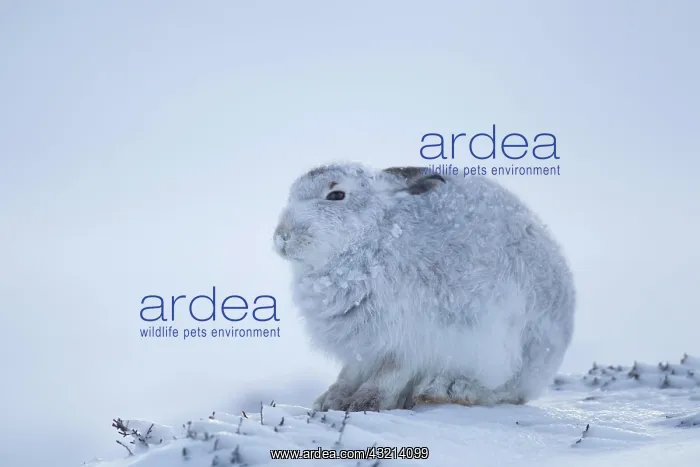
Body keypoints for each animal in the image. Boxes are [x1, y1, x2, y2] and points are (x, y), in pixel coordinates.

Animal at [273, 162, 576, 412]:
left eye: (336, 195)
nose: (282, 237)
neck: (375, 236)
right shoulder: (364, 346)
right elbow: (350, 373)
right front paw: (331, 400)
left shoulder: (413, 336)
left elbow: (392, 373)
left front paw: (365, 402)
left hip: (509, 348)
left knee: (506, 392)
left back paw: (448, 389)